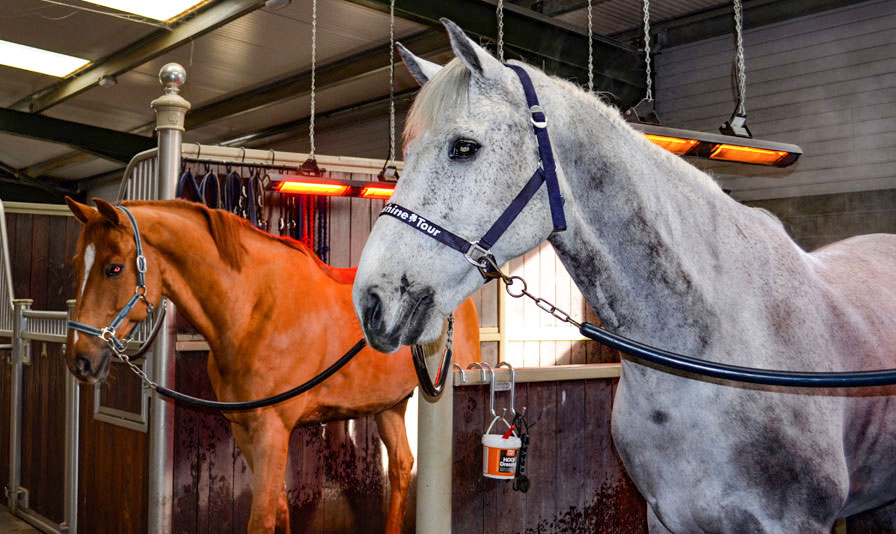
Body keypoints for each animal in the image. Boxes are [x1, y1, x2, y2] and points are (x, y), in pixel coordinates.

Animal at [65, 199, 484, 532]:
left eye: (114, 268)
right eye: (76, 264)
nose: (79, 359)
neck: (253, 310)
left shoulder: (272, 429)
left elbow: (262, 518)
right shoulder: (245, 429)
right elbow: (280, 508)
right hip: (389, 405)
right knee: (399, 467)